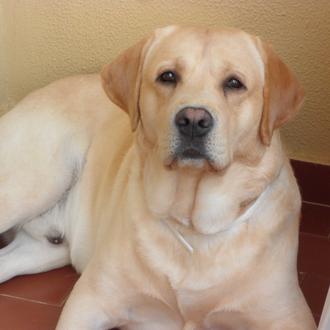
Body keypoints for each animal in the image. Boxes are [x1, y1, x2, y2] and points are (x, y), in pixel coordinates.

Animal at [0, 26, 316, 330]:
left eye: (234, 83)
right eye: (168, 76)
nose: (193, 120)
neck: (192, 225)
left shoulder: (290, 316)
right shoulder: (89, 299)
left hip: (47, 249)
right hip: (36, 184)